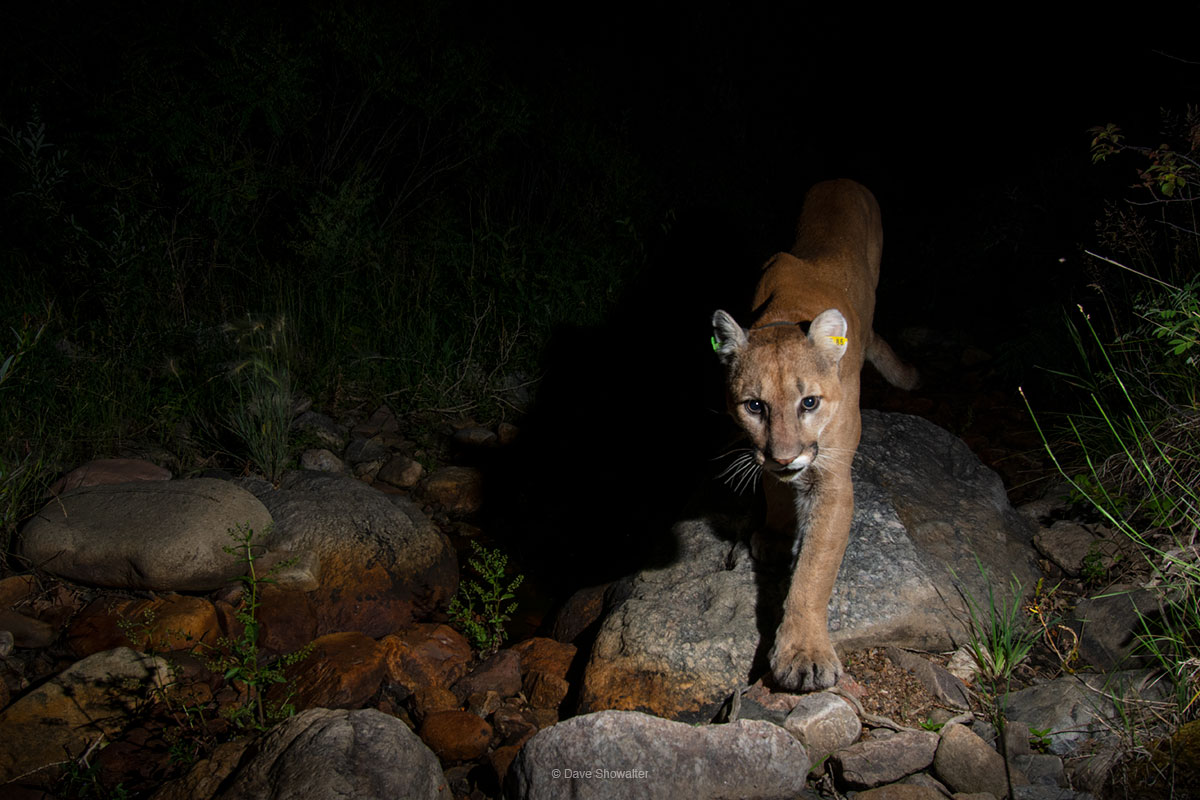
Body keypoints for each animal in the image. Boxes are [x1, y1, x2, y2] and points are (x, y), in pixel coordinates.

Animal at [710, 178, 916, 690]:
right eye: (755, 406)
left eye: (809, 403)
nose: (785, 458)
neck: (786, 313)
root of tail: (843, 179)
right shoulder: (762, 454)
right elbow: (775, 491)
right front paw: (776, 534)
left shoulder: (834, 479)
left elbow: (814, 570)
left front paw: (803, 654)